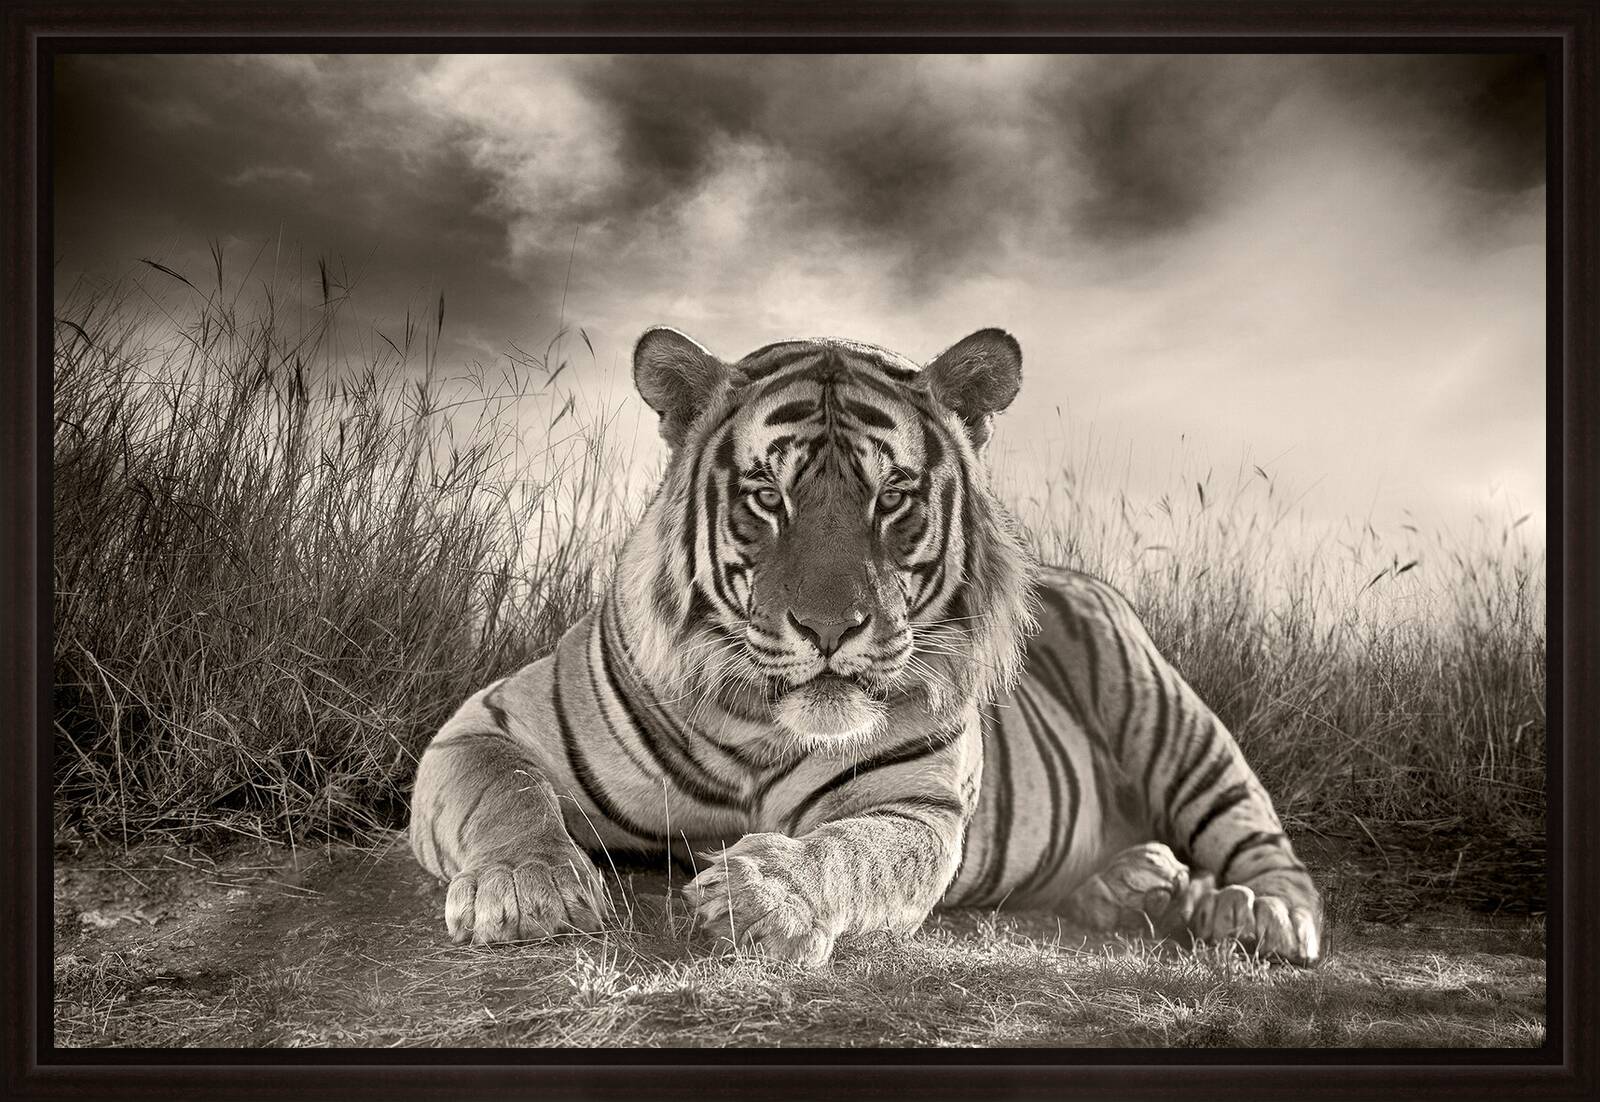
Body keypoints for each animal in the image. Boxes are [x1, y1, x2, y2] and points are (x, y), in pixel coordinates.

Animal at [408, 326, 1322, 967]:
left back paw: (1259, 916)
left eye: (893, 496)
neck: (756, 725)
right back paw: (1139, 885)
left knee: (1264, 842)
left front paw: (763, 898)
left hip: (1174, 723)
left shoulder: (918, 805)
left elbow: (854, 854)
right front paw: (529, 889)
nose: (827, 628)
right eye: (765, 495)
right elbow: (508, 791)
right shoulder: (486, 721)